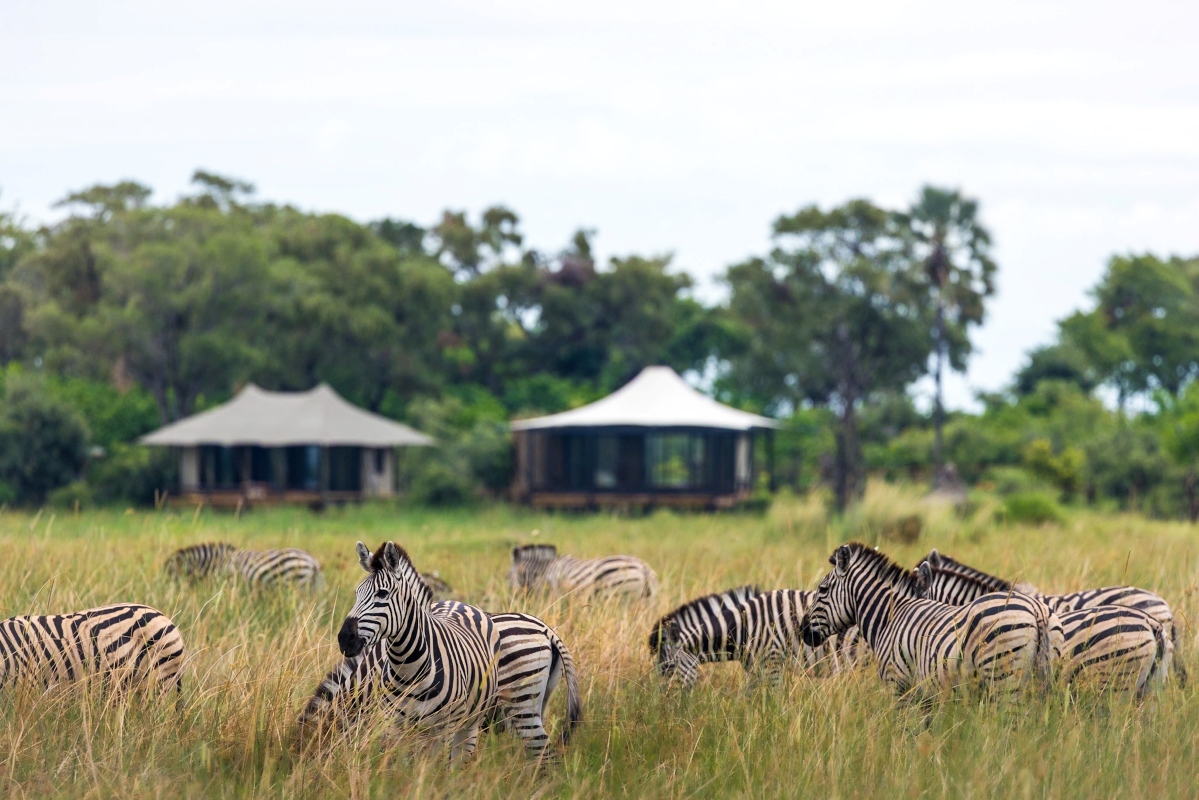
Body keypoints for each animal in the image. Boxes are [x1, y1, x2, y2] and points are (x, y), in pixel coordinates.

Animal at [336, 541, 501, 761]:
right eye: (357, 594)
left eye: (382, 593)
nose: (345, 639)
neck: (409, 669)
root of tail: (457, 602)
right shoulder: (394, 725)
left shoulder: (443, 728)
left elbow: (431, 769)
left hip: (470, 723)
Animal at [509, 544, 658, 599]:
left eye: (507, 576)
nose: (513, 597)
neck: (546, 569)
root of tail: (643, 567)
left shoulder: (556, 590)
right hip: (645, 598)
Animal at [798, 543, 1054, 699]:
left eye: (822, 589)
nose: (802, 631)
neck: (891, 616)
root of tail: (1036, 609)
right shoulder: (928, 694)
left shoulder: (898, 683)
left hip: (1003, 677)